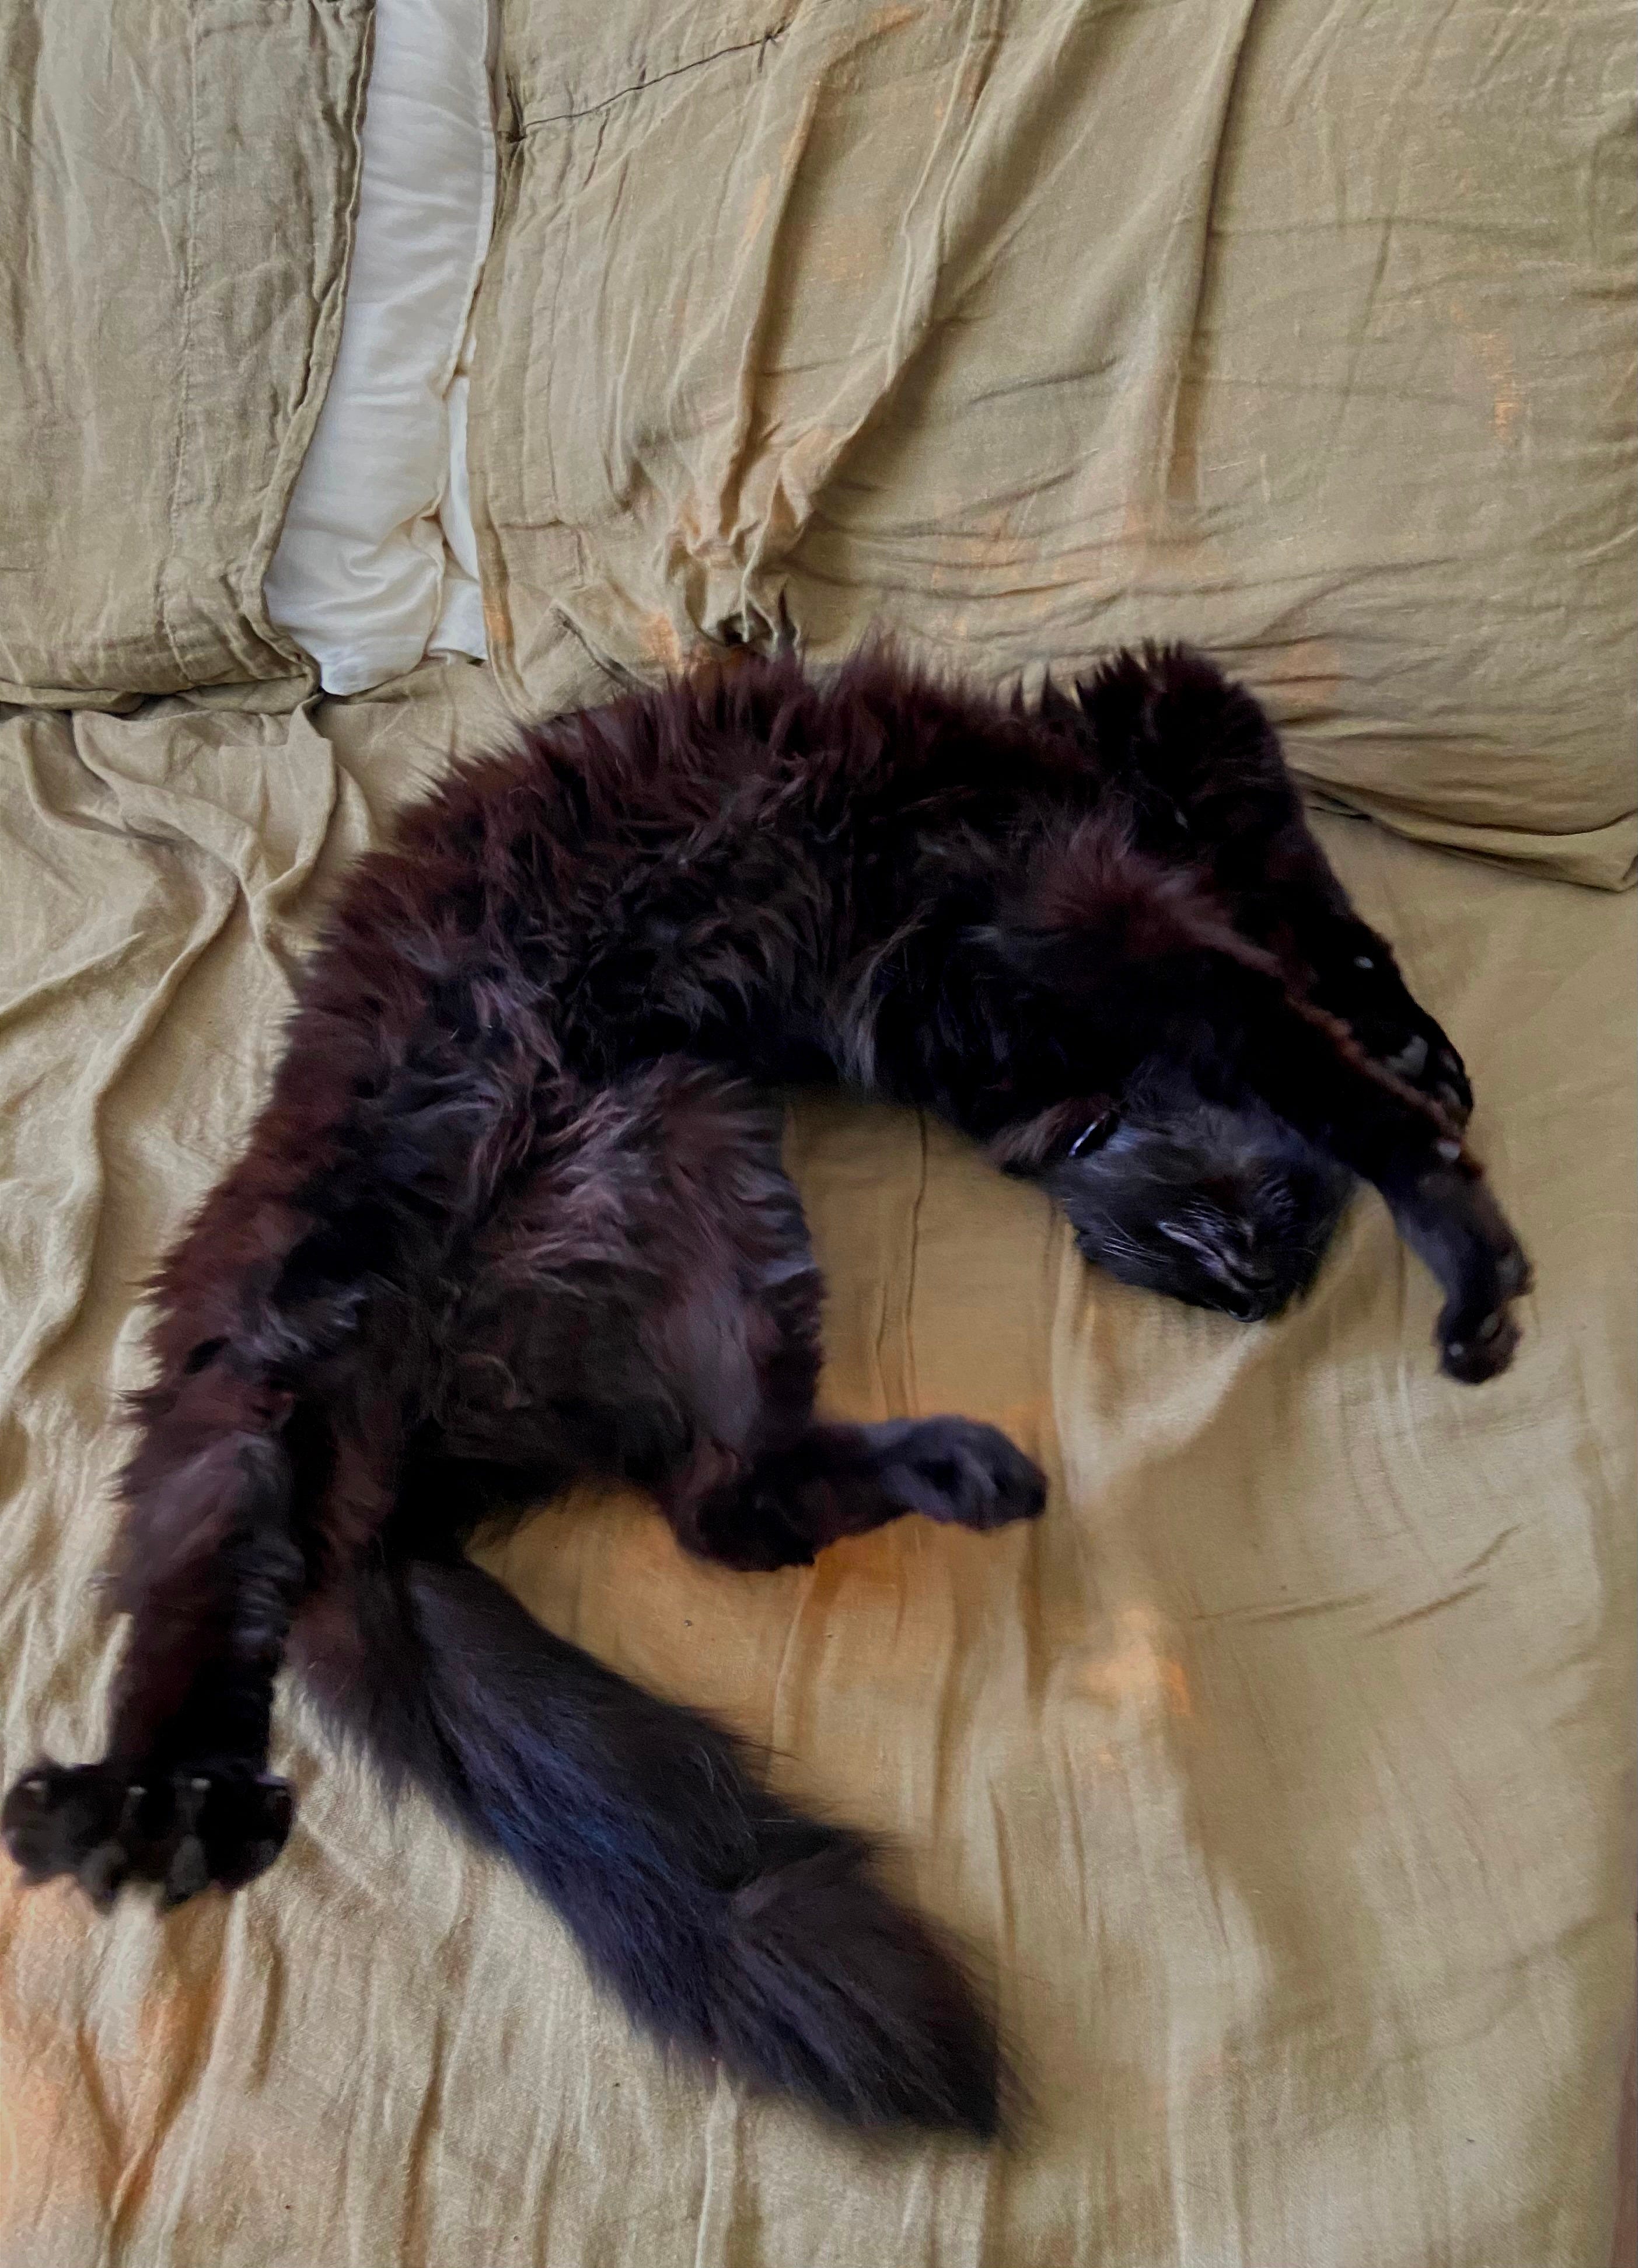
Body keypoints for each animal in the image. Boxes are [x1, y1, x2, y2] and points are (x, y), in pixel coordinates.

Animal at [2, 641, 1527, 2137]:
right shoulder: (1101, 848)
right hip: (292, 1338)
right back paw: (142, 1810)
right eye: (1231, 1246)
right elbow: (1299, 990)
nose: (1255, 1283)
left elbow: (1282, 952)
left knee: (726, 1506)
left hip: (703, 1164)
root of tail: (398, 1495)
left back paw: (965, 1472)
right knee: (205, 1604)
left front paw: (1398, 1047)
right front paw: (1440, 1159)